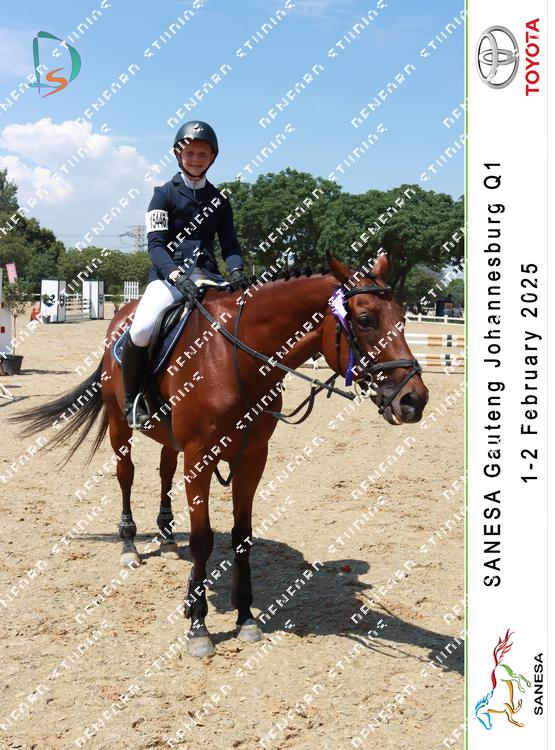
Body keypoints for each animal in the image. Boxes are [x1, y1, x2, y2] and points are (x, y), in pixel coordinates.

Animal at [14, 254, 428, 657]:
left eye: (403, 318)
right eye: (365, 319)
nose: (415, 400)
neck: (235, 358)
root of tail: (121, 317)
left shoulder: (252, 458)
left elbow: (242, 536)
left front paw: (245, 616)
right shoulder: (200, 457)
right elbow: (203, 539)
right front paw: (198, 625)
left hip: (170, 440)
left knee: (164, 472)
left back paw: (166, 537)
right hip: (120, 425)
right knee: (126, 475)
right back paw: (129, 545)